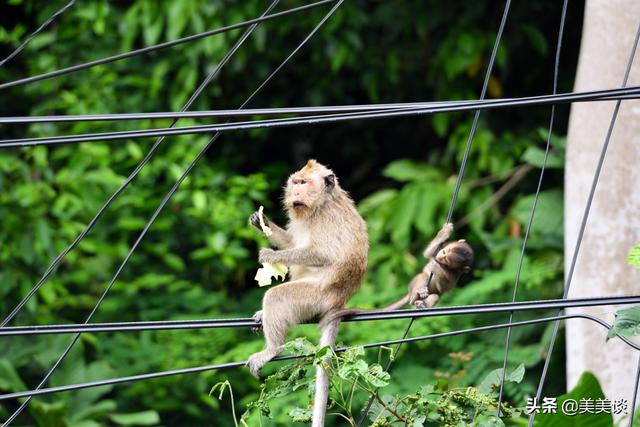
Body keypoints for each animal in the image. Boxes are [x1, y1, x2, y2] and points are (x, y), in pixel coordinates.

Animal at [248, 159, 368, 426]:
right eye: (295, 182)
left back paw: (272, 350)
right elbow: (293, 243)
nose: (295, 192)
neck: (319, 205)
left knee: (277, 297)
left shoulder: (327, 219)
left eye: (304, 183)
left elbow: (323, 253)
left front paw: (271, 256)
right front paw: (263, 222)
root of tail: (339, 301)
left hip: (314, 296)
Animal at [322, 224, 472, 328]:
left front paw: (438, 266)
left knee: (435, 295)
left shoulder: (454, 273)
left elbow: (444, 285)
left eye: (446, 259)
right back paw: (417, 296)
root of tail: (410, 294)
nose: (440, 257)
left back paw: (418, 303)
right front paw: (444, 234)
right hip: (414, 285)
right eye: (444, 251)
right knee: (423, 277)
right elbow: (428, 254)